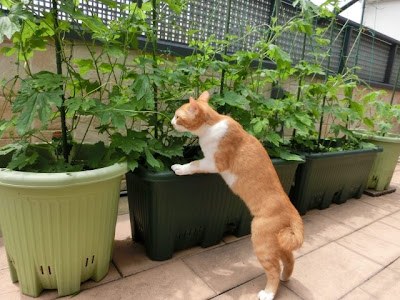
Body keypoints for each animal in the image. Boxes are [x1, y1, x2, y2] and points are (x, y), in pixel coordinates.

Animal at [170, 91, 304, 300]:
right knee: (289, 259)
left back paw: (268, 293)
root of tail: (292, 211)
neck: (212, 126)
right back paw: (285, 277)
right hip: (277, 243)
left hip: (262, 243)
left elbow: (193, 164)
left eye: (178, 116)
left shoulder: (213, 163)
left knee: (273, 269)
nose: (170, 122)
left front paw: (180, 168)